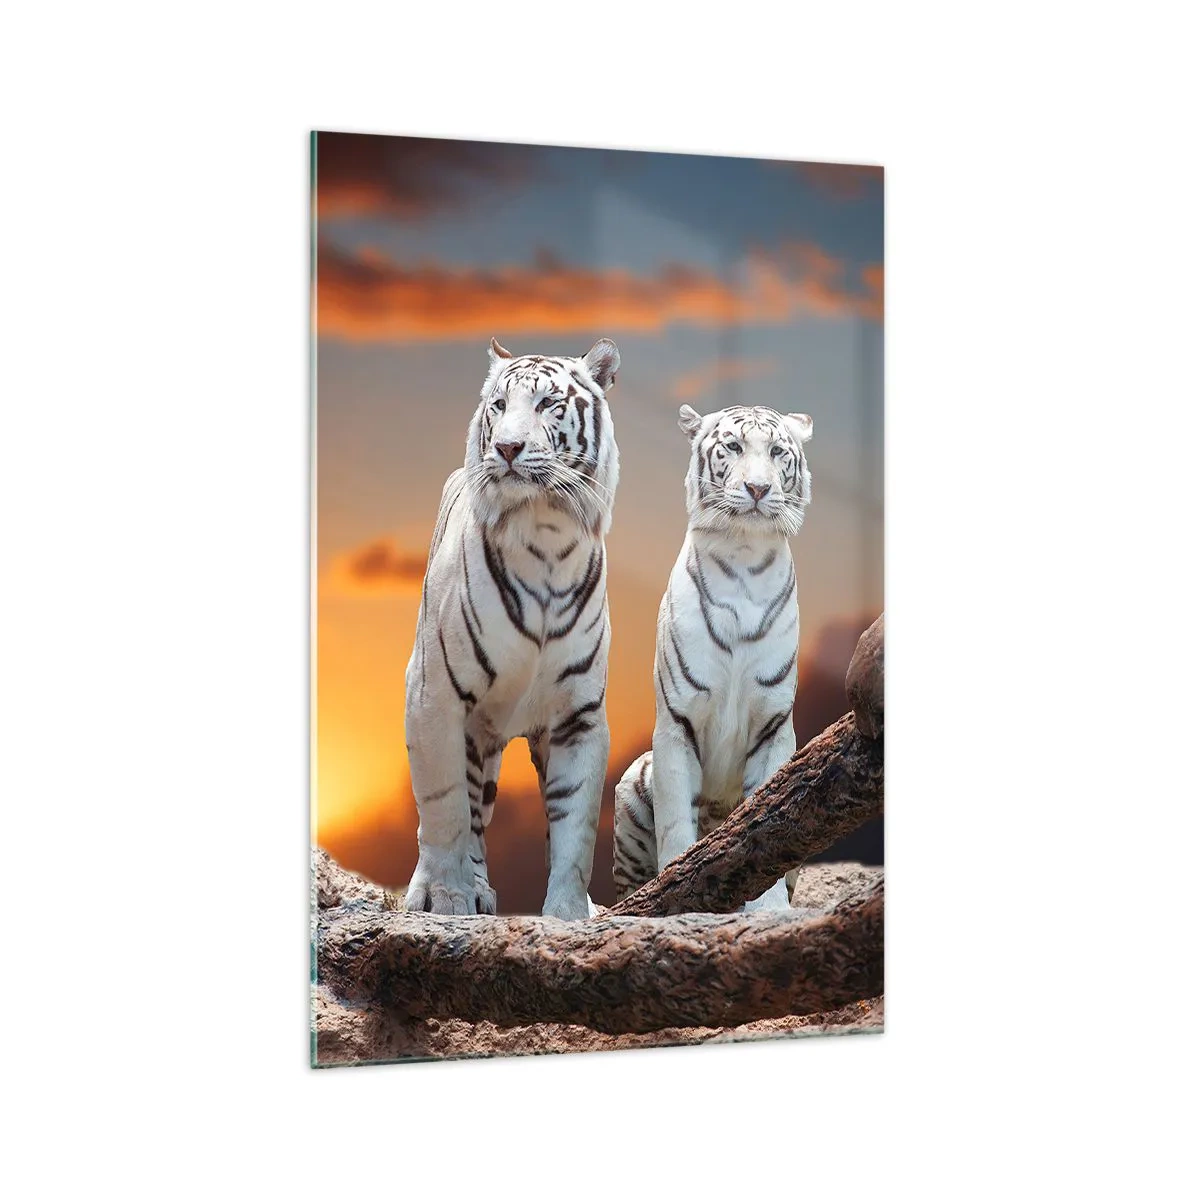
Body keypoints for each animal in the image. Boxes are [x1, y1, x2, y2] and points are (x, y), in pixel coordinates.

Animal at [403, 336, 620, 919]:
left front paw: (569, 914)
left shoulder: (579, 714)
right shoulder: (434, 695)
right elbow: (445, 809)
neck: (545, 533)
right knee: (467, 811)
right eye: (499, 406)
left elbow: (576, 826)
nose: (506, 448)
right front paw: (445, 898)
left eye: (548, 404)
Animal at [613, 402, 813, 909]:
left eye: (777, 452)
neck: (744, 558)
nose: (758, 488)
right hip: (632, 782)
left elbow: (768, 820)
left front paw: (769, 909)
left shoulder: (774, 725)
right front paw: (673, 890)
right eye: (734, 447)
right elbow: (675, 824)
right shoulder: (676, 722)